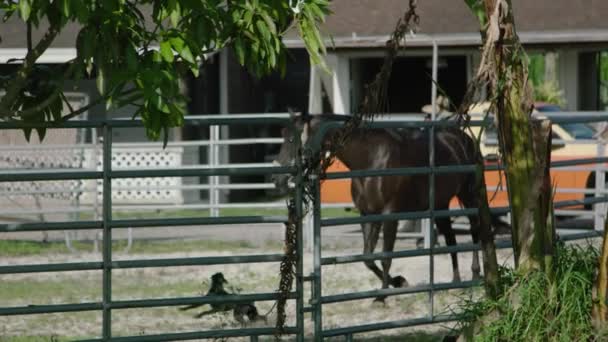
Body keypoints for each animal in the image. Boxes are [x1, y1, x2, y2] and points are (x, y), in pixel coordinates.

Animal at [274, 113, 502, 302]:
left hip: (469, 196)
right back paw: (455, 281)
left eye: (292, 140)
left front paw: (383, 295)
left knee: (475, 230)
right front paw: (397, 282)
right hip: (440, 204)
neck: (371, 159)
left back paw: (475, 273)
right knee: (450, 238)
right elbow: (368, 257)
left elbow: (385, 257)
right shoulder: (368, 215)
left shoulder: (390, 216)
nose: (279, 180)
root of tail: (465, 139)